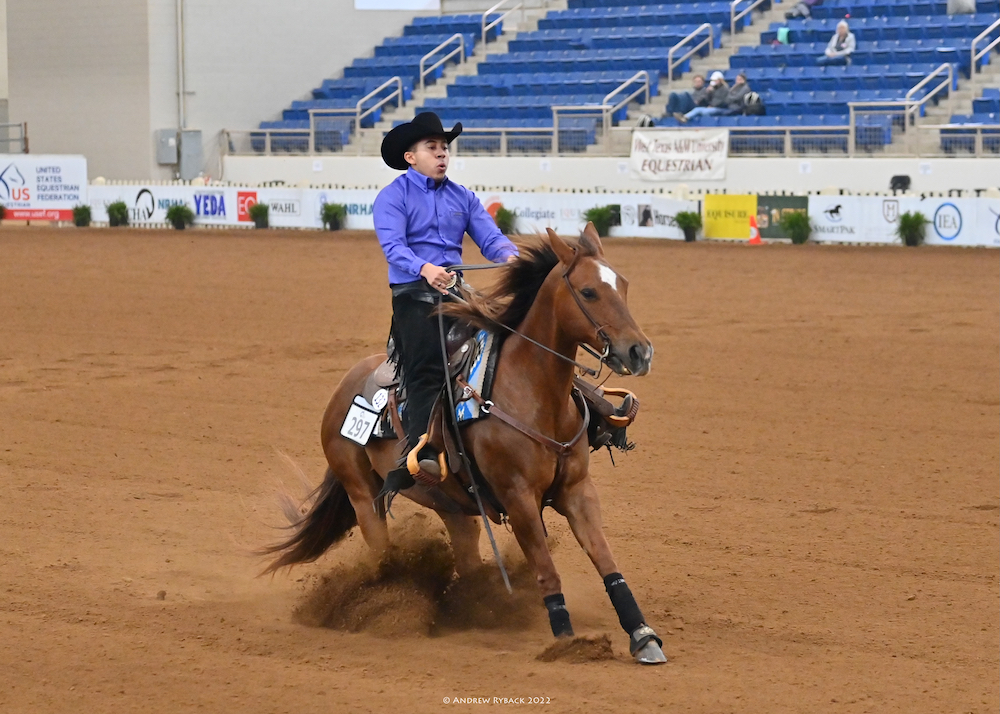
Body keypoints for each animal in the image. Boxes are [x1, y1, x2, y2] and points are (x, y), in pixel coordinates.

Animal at [268, 222, 664, 660]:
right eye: (589, 291)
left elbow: (606, 560)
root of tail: (345, 385)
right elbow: (546, 570)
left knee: (467, 561)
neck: (531, 392)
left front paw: (642, 634)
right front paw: (567, 641)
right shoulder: (518, 497)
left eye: (623, 285)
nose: (640, 352)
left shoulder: (577, 491)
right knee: (381, 556)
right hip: (362, 495)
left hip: (455, 508)